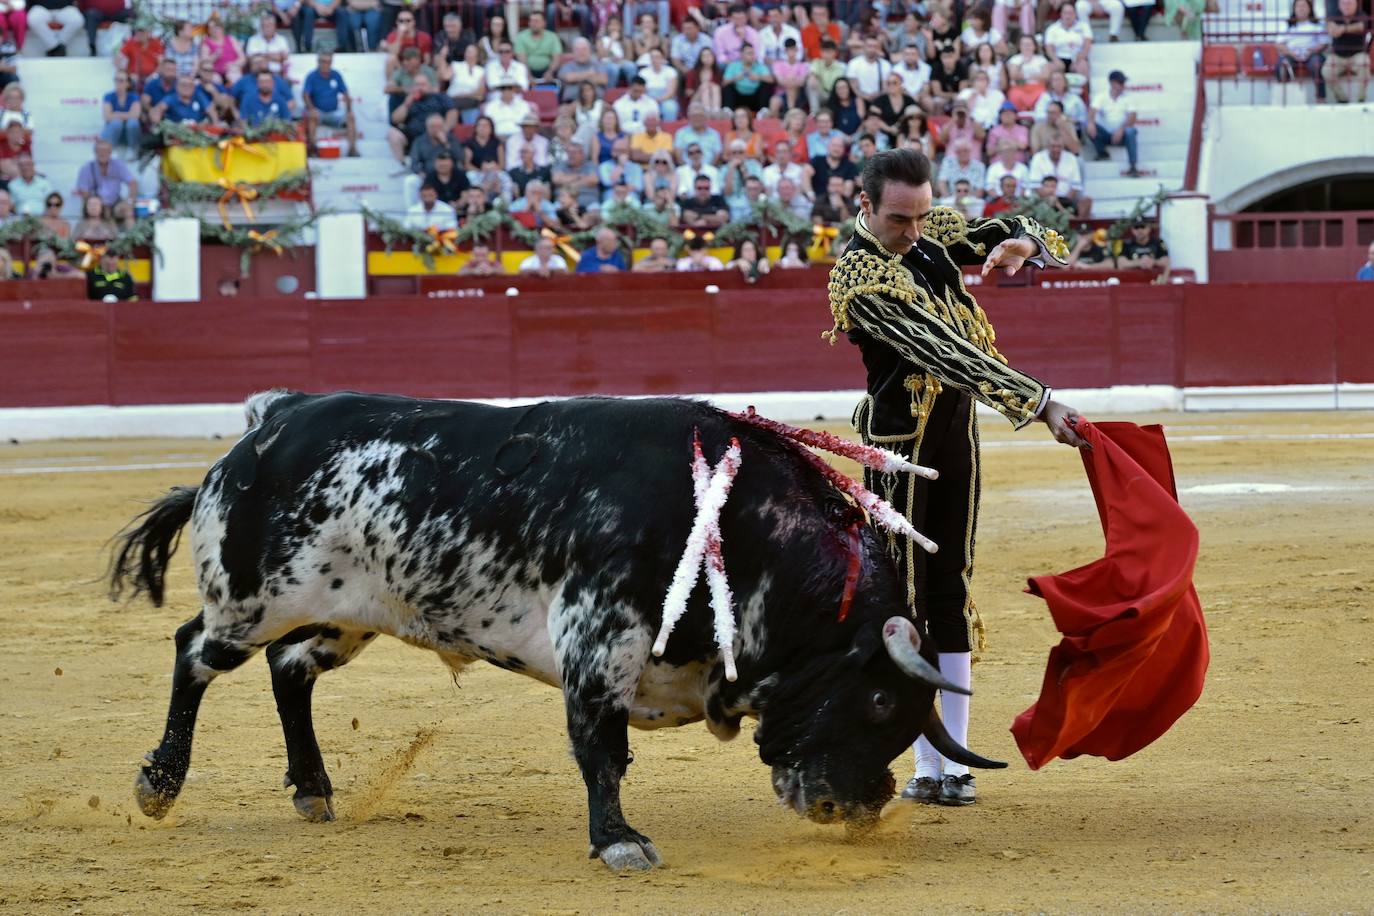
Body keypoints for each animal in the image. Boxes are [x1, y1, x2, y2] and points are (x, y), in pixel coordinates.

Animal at [107, 390, 1005, 873]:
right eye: (880, 700)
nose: (859, 808)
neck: (738, 527)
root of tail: (271, 420)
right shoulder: (597, 642)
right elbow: (601, 751)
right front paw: (619, 844)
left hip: (347, 615)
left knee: (290, 672)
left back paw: (313, 791)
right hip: (254, 600)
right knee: (194, 653)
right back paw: (158, 785)